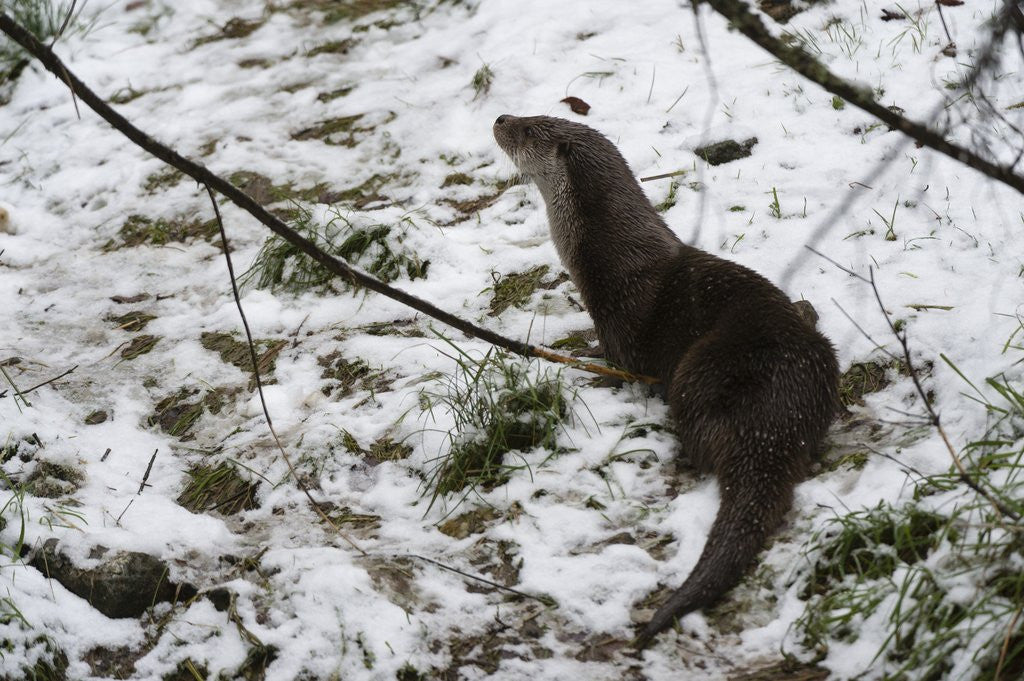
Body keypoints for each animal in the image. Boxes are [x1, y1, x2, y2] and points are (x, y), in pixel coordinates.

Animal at [492, 115, 838, 649]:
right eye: (532, 115)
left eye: (530, 129)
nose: (500, 119)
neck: (609, 256)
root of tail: (780, 416)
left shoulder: (619, 319)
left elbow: (615, 359)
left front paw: (580, 358)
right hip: (821, 359)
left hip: (702, 368)